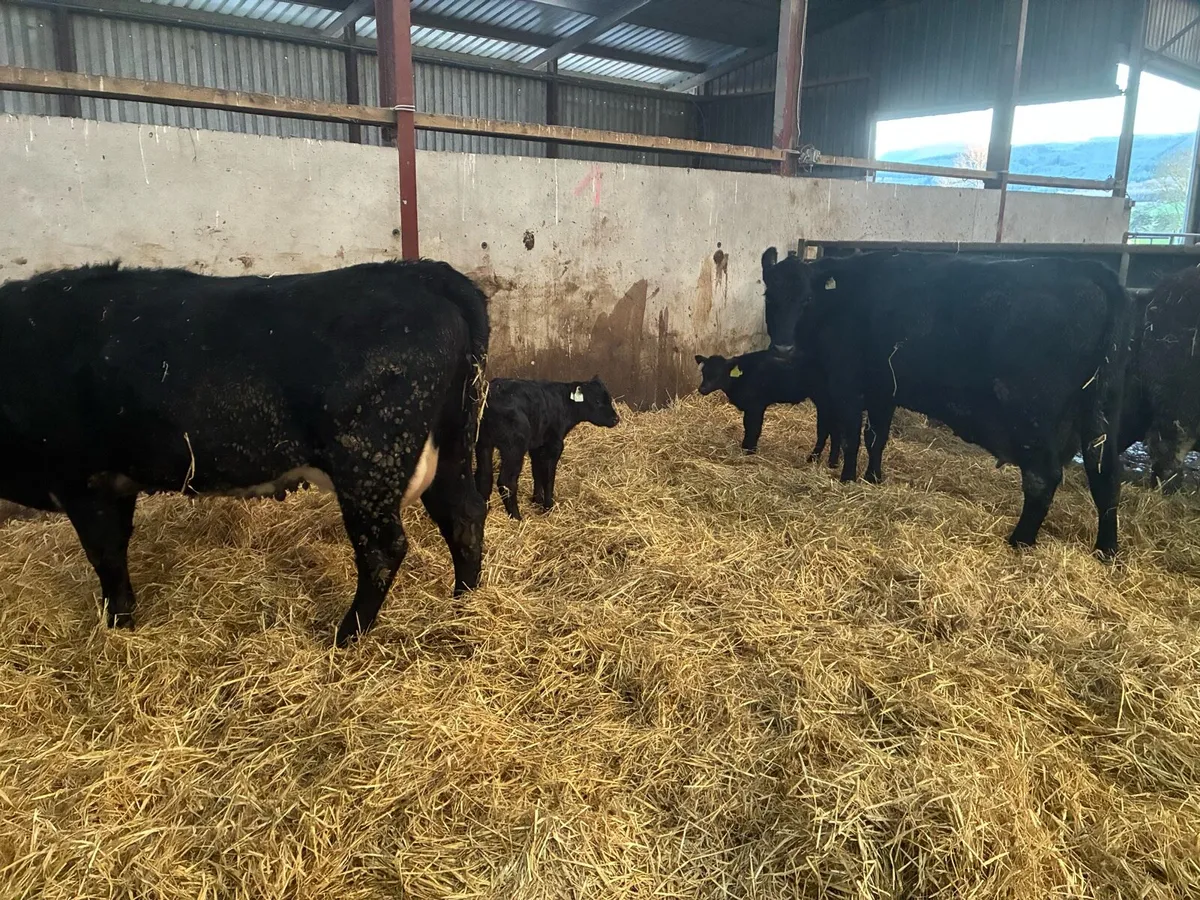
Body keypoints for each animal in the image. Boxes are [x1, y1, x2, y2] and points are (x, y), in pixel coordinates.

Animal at [0, 259, 489, 647]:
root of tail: (421, 272)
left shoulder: (83, 481)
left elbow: (105, 557)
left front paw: (117, 624)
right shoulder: (114, 484)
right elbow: (117, 550)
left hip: (369, 463)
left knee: (383, 549)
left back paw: (345, 636)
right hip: (451, 446)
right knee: (463, 517)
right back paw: (464, 603)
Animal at [475, 376, 620, 520]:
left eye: (609, 399)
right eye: (597, 401)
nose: (616, 419)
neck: (563, 404)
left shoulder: (537, 445)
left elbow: (537, 473)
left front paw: (536, 501)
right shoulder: (554, 445)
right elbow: (549, 478)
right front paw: (548, 507)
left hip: (483, 443)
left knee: (484, 476)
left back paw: (485, 510)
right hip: (513, 448)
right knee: (506, 481)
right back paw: (517, 518)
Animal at [694, 350, 841, 466]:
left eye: (718, 374)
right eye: (704, 372)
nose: (702, 389)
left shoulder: (756, 406)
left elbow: (754, 428)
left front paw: (750, 451)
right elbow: (747, 426)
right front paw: (745, 447)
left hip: (824, 399)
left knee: (826, 429)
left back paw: (814, 458)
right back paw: (831, 462)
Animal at [761, 248, 1135, 556]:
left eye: (807, 299)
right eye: (770, 296)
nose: (783, 348)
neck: (841, 301)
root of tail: (1089, 270)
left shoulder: (847, 383)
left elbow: (853, 437)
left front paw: (848, 479)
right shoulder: (884, 388)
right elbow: (876, 437)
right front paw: (874, 478)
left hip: (1031, 414)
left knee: (1043, 477)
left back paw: (1020, 541)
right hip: (1101, 411)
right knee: (1106, 478)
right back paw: (1106, 550)